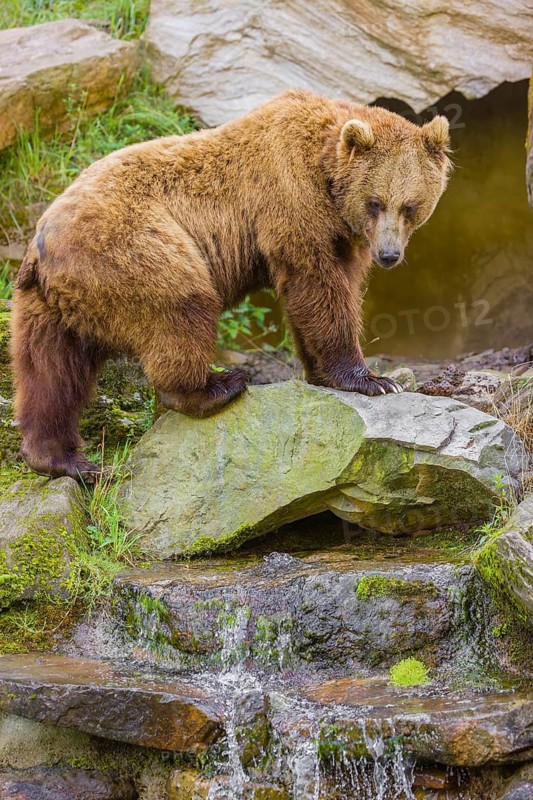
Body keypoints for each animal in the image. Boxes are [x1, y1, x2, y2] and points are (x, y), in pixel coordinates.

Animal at [11, 90, 451, 482]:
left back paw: (62, 459)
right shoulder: (289, 200)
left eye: (410, 205)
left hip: (48, 302)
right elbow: (317, 285)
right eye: (375, 201)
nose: (389, 254)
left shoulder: (344, 236)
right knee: (181, 305)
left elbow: (323, 290)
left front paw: (324, 373)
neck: (326, 175)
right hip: (131, 247)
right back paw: (214, 387)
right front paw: (373, 379)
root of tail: (43, 242)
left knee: (50, 371)